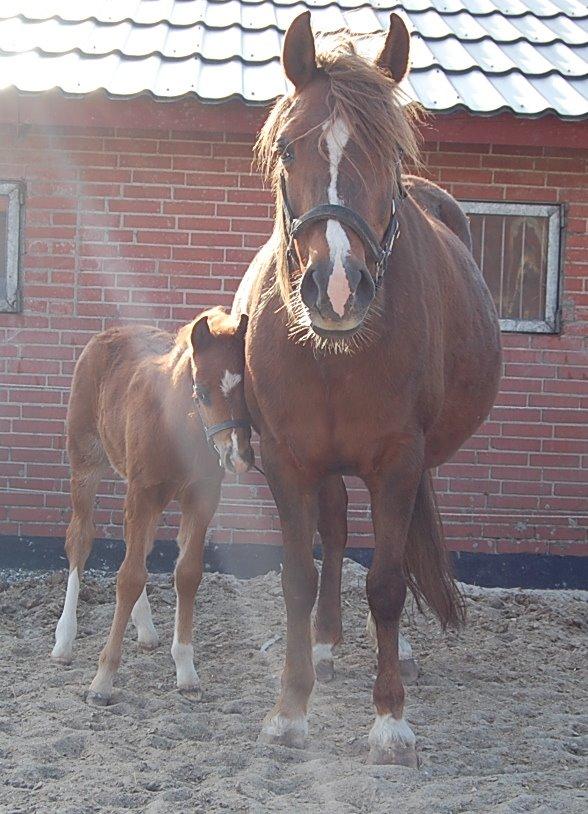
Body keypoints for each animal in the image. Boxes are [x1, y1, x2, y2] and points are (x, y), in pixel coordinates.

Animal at [51, 310, 253, 704]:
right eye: (201, 392)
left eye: (247, 390)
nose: (237, 456)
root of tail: (108, 334)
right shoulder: (142, 493)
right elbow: (128, 577)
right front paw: (102, 682)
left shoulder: (202, 497)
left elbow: (186, 574)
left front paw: (187, 672)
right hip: (86, 463)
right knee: (79, 540)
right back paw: (64, 641)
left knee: (138, 545)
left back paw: (145, 629)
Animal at [234, 11, 500, 764]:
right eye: (288, 149)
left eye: (391, 156)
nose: (338, 287)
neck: (334, 355)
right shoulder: (287, 460)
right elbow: (299, 575)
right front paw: (290, 707)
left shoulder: (398, 460)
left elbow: (384, 583)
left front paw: (389, 720)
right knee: (334, 531)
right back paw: (325, 646)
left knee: (396, 552)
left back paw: (396, 650)